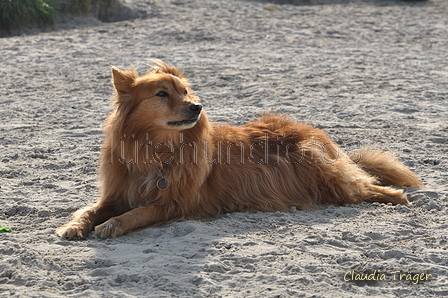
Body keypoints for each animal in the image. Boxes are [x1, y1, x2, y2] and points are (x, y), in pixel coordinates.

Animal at [55, 60, 424, 240]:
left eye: (185, 91)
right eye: (162, 94)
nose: (197, 107)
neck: (156, 150)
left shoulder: (174, 203)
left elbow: (137, 213)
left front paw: (113, 225)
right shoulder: (117, 194)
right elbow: (90, 210)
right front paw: (73, 226)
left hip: (322, 172)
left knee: (367, 187)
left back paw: (397, 198)